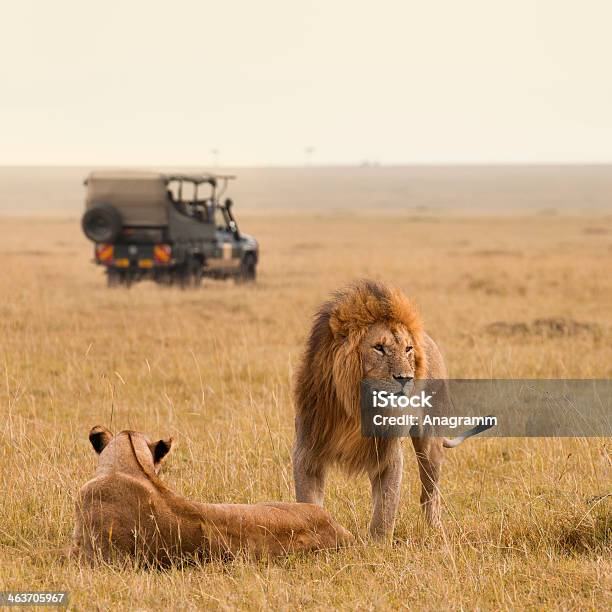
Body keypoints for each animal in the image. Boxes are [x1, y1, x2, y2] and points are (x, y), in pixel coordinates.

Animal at [292, 280, 482, 536]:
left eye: (408, 349)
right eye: (379, 348)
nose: (406, 378)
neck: (356, 409)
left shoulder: (388, 452)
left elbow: (385, 510)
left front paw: (377, 543)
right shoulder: (308, 450)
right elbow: (308, 503)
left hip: (430, 442)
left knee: (430, 493)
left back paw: (435, 530)